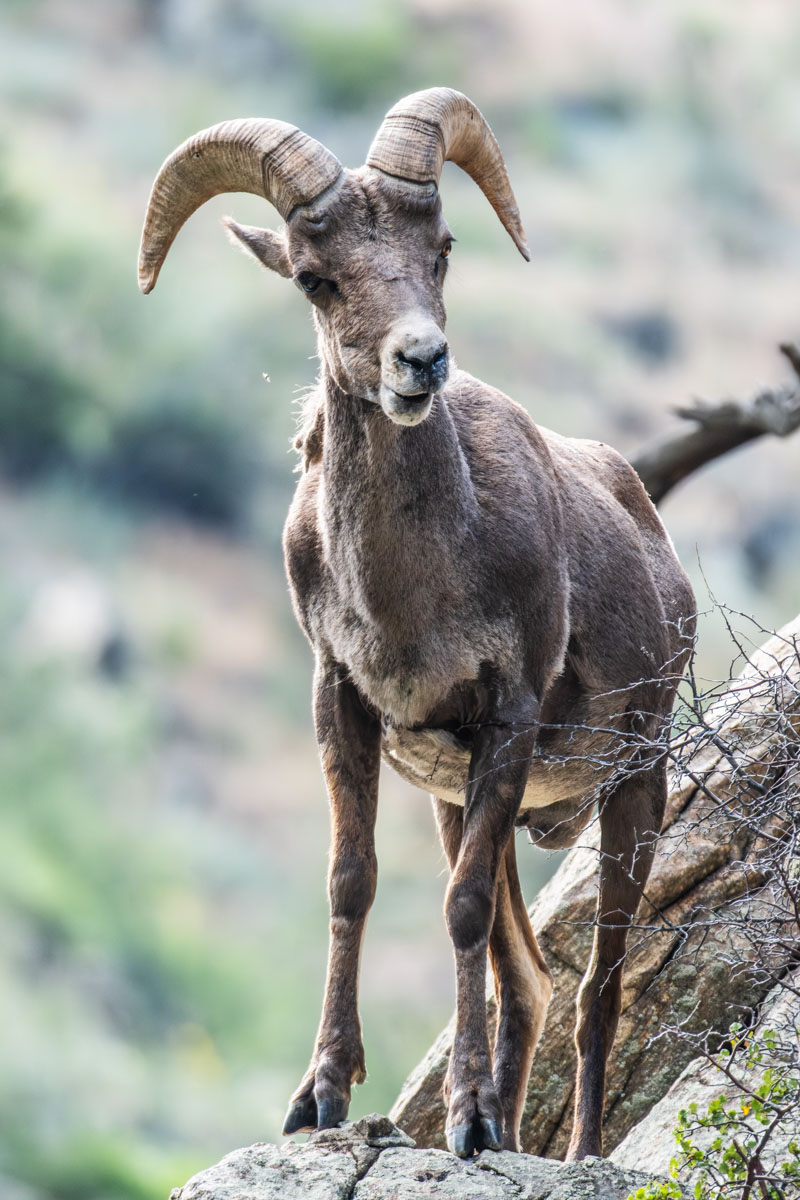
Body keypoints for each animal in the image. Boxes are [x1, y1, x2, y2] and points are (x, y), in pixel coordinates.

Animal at [138, 88, 695, 1161]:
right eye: (315, 278)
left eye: (440, 250)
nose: (421, 361)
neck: (414, 593)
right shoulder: (347, 707)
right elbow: (351, 884)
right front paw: (320, 1099)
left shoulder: (507, 719)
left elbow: (460, 910)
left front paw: (468, 1119)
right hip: (475, 806)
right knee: (530, 981)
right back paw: (511, 1133)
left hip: (631, 791)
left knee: (595, 995)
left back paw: (568, 1152)